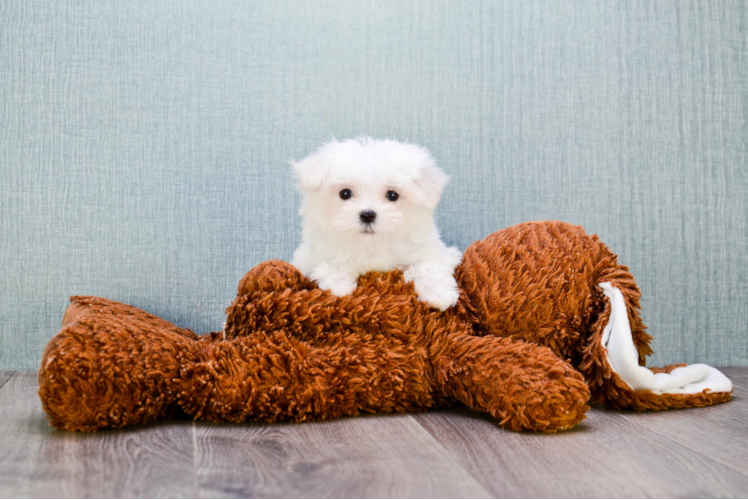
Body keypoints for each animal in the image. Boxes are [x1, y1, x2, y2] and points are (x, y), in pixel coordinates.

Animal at [290, 137, 462, 308]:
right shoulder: (307, 257)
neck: (371, 244)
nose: (367, 215)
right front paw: (339, 284)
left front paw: (438, 293)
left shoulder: (436, 250)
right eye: (345, 193)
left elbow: (428, 265)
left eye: (392, 195)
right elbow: (332, 262)